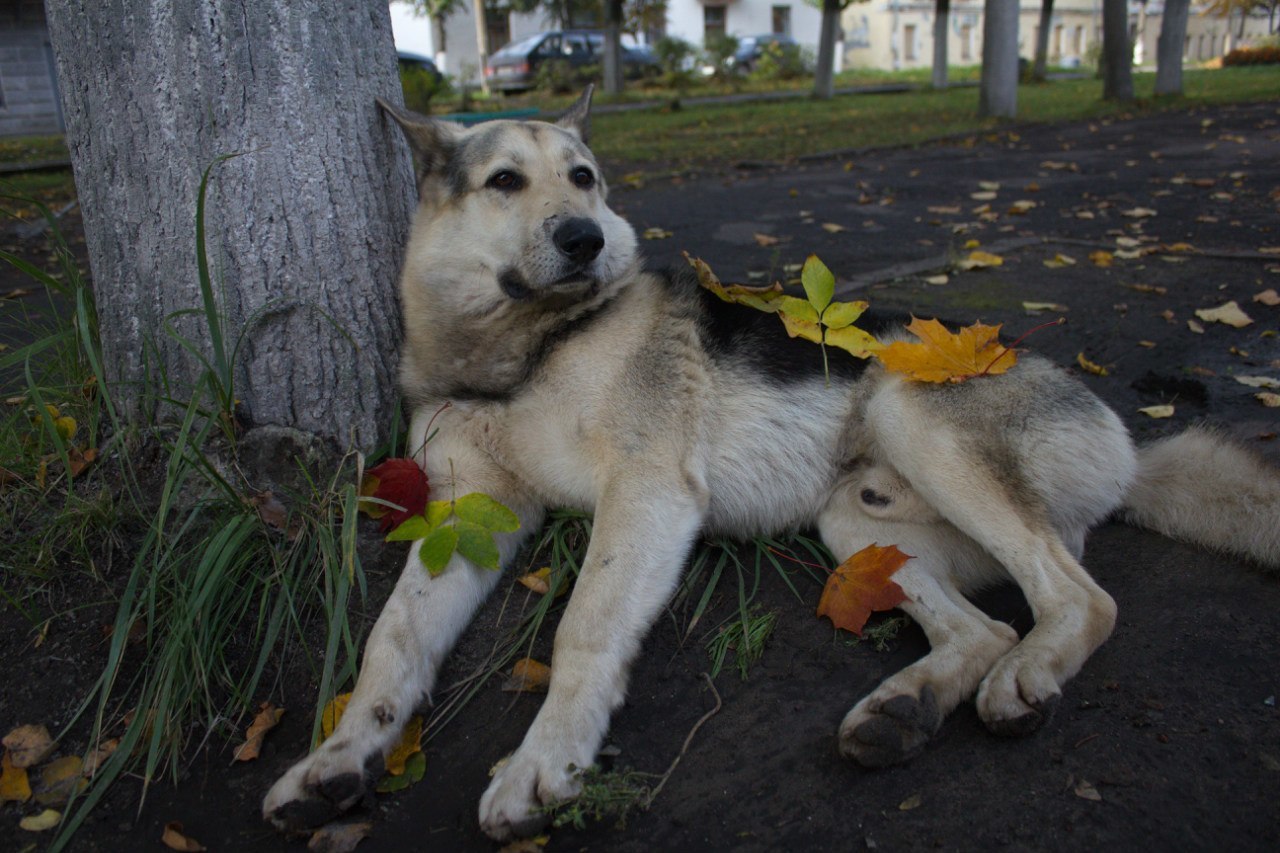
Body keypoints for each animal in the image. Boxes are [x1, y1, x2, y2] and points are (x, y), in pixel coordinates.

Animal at [262, 87, 1280, 835]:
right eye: (505, 181)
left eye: (585, 180)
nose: (585, 238)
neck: (522, 351)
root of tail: (1130, 440)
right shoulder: (469, 512)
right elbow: (392, 640)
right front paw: (337, 758)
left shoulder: (647, 494)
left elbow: (583, 629)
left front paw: (546, 762)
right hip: (856, 521)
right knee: (985, 624)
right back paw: (906, 707)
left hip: (914, 412)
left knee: (1076, 597)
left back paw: (1024, 676)